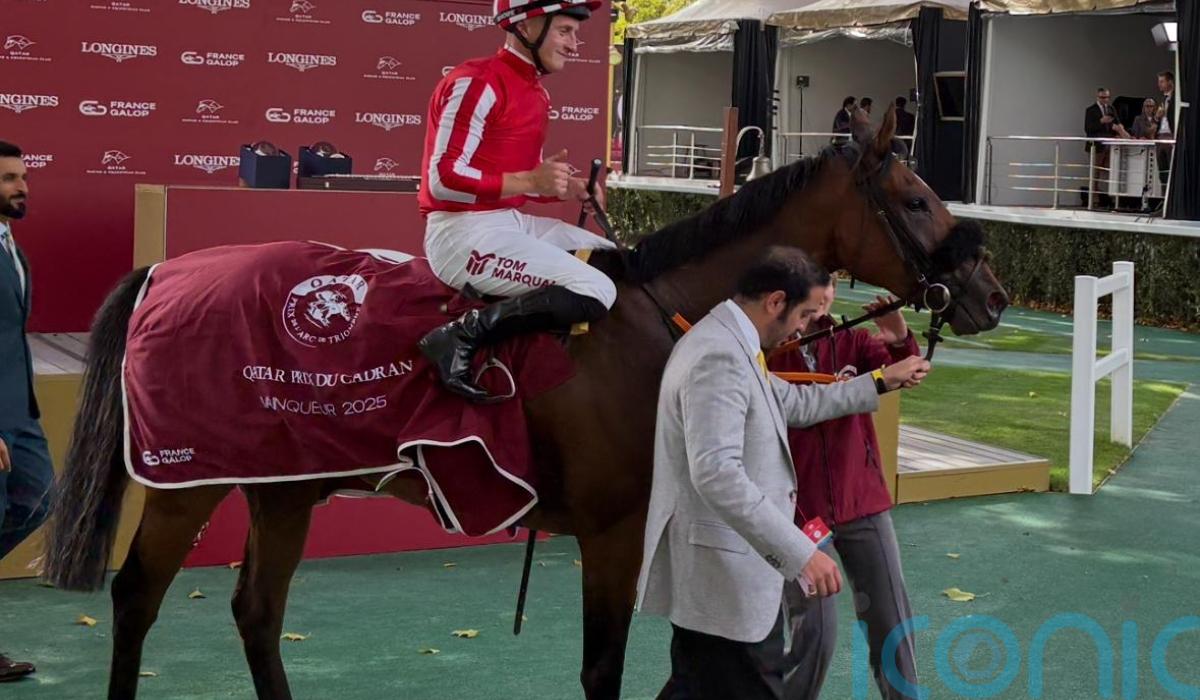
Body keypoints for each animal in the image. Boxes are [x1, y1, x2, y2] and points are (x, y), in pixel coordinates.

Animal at [44, 109, 1007, 699]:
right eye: (917, 198)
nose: (990, 294)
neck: (660, 318)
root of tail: (166, 269)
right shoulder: (616, 532)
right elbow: (603, 669)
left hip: (286, 486)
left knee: (256, 612)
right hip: (189, 480)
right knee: (136, 597)